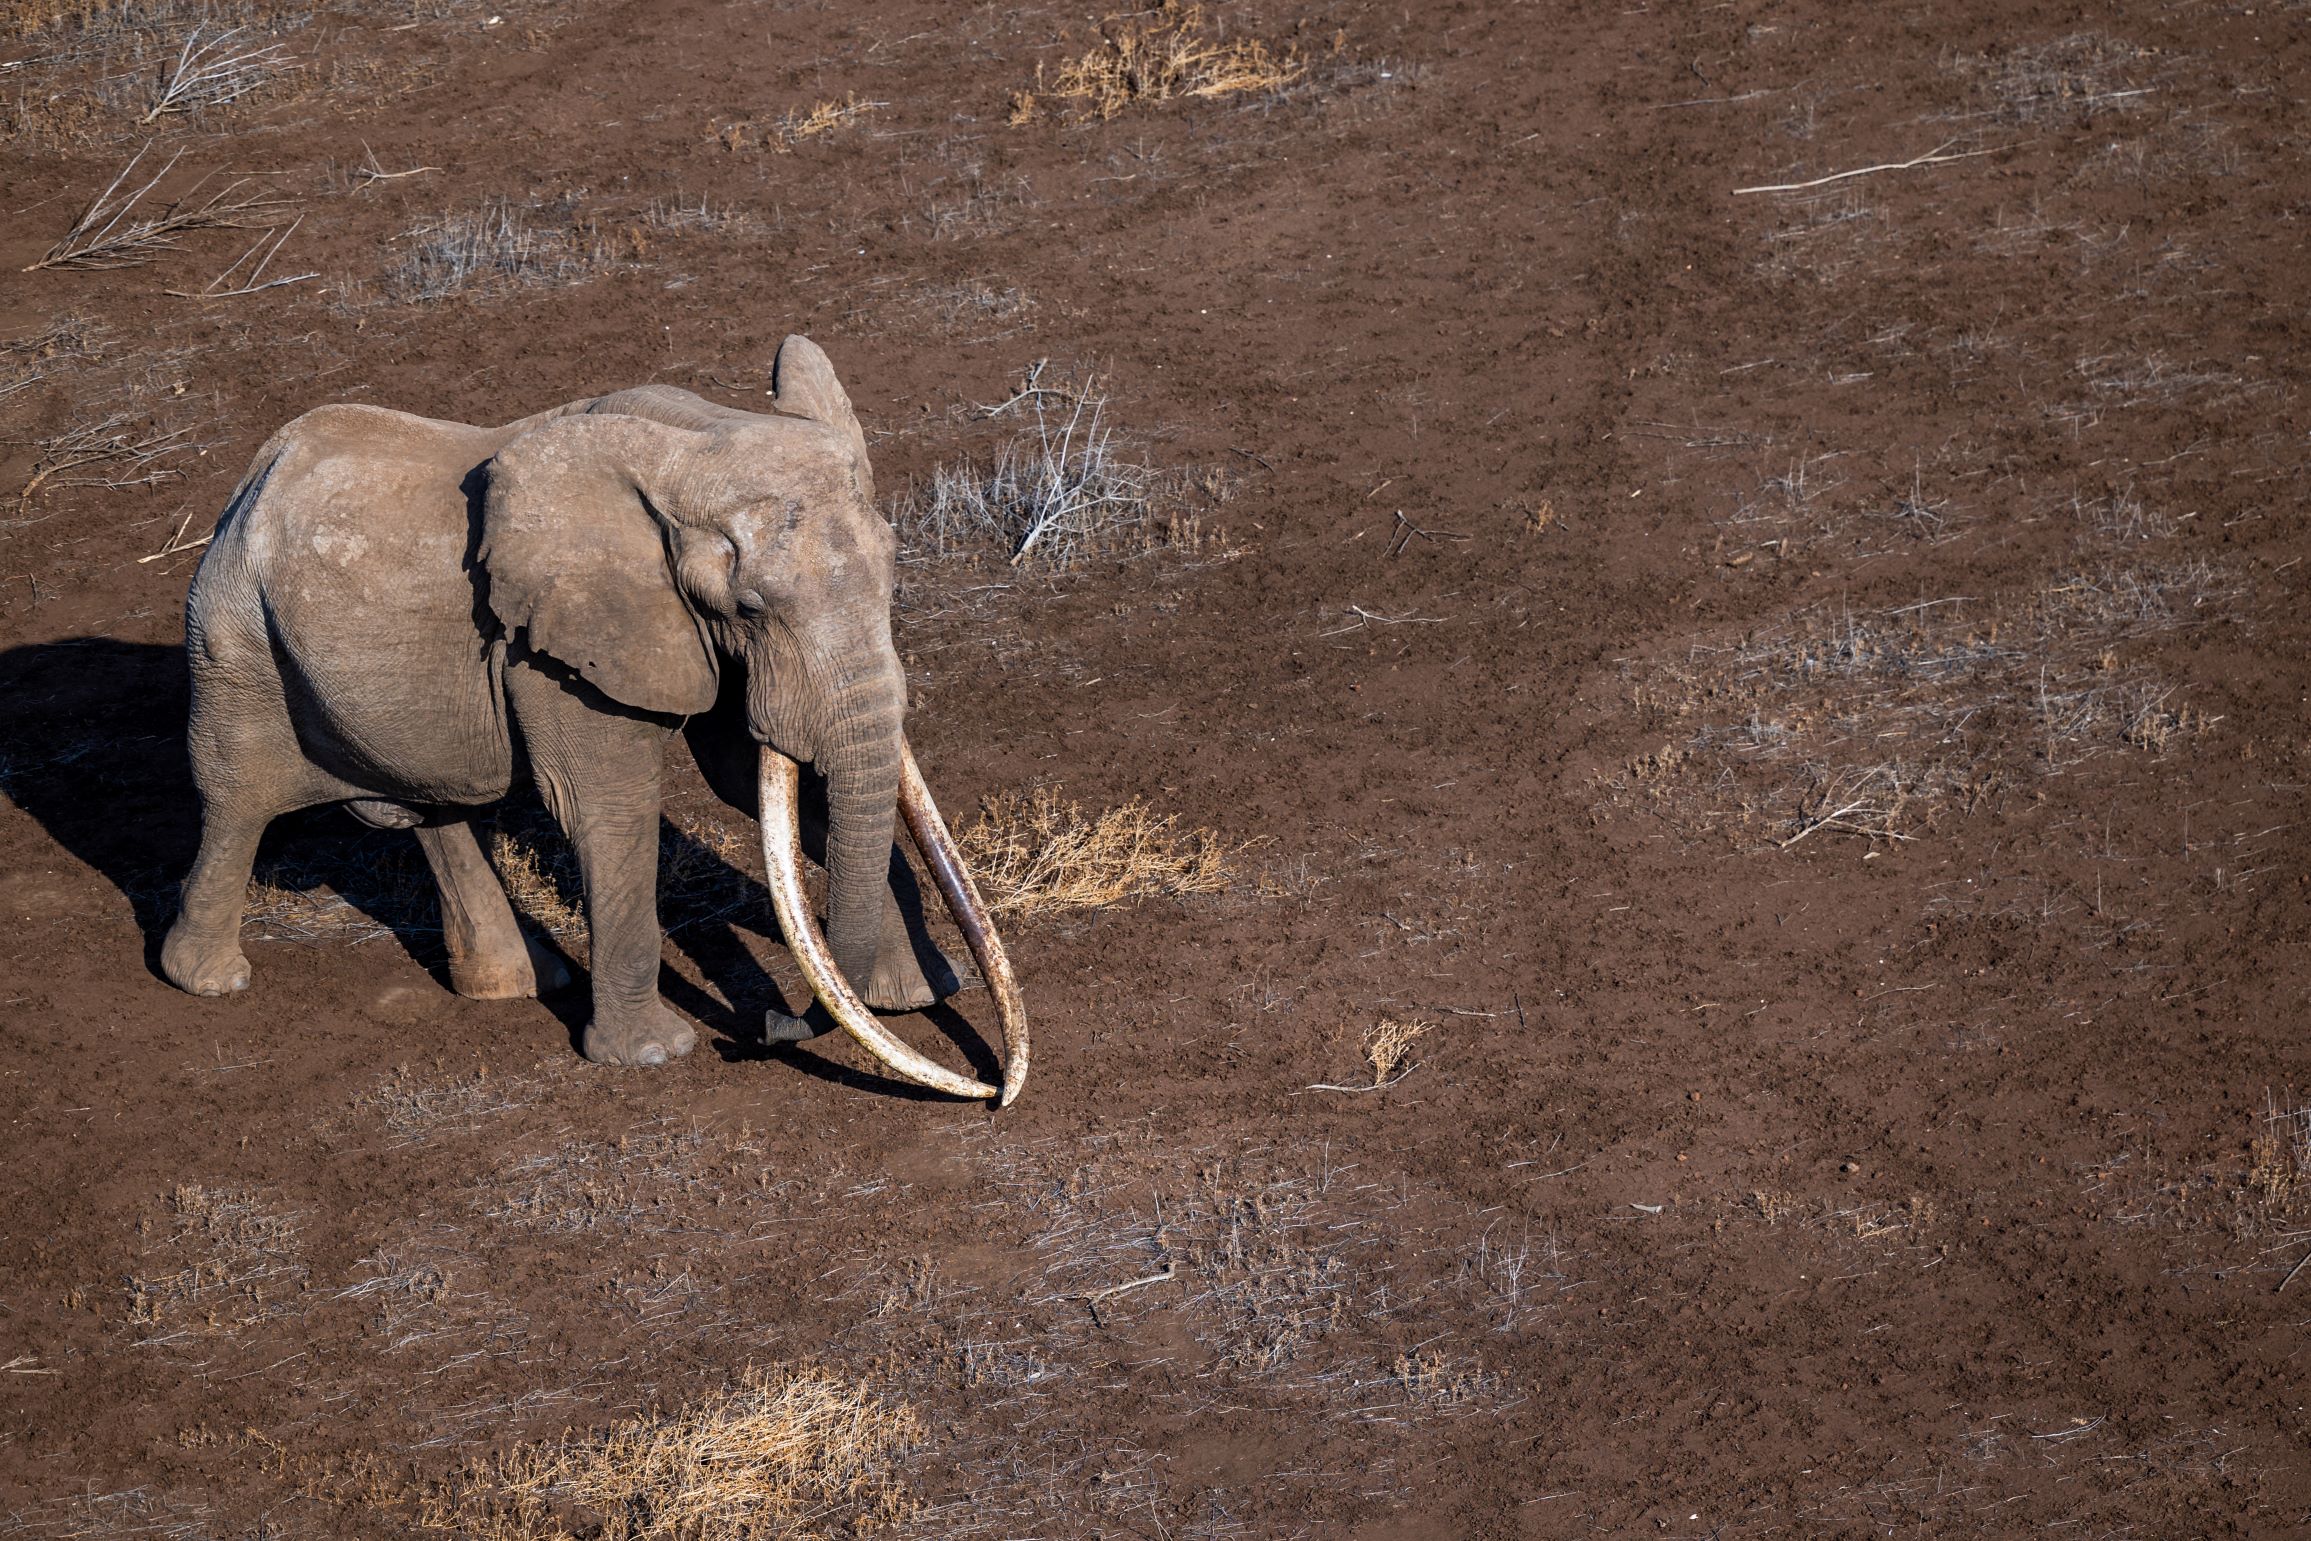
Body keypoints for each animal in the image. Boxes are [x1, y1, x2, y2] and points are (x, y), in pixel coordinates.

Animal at [160, 335, 1027, 1104]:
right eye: (750, 607)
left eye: (893, 571)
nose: (772, 1025)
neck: (699, 435)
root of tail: (251, 479)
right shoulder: (556, 641)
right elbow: (608, 806)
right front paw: (653, 1055)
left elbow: (762, 779)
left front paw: (915, 994)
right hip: (233, 634)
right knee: (237, 799)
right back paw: (204, 978)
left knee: (433, 807)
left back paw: (517, 983)